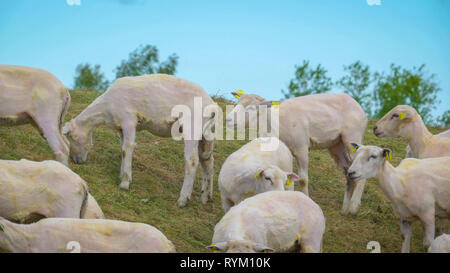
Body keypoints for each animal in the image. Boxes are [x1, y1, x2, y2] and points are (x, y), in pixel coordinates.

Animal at [227, 91, 368, 215]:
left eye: (251, 107)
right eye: (237, 102)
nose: (228, 120)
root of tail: (355, 103)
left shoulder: (301, 148)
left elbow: (303, 180)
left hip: (353, 137)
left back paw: (354, 207)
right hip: (336, 145)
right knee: (349, 173)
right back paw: (345, 209)